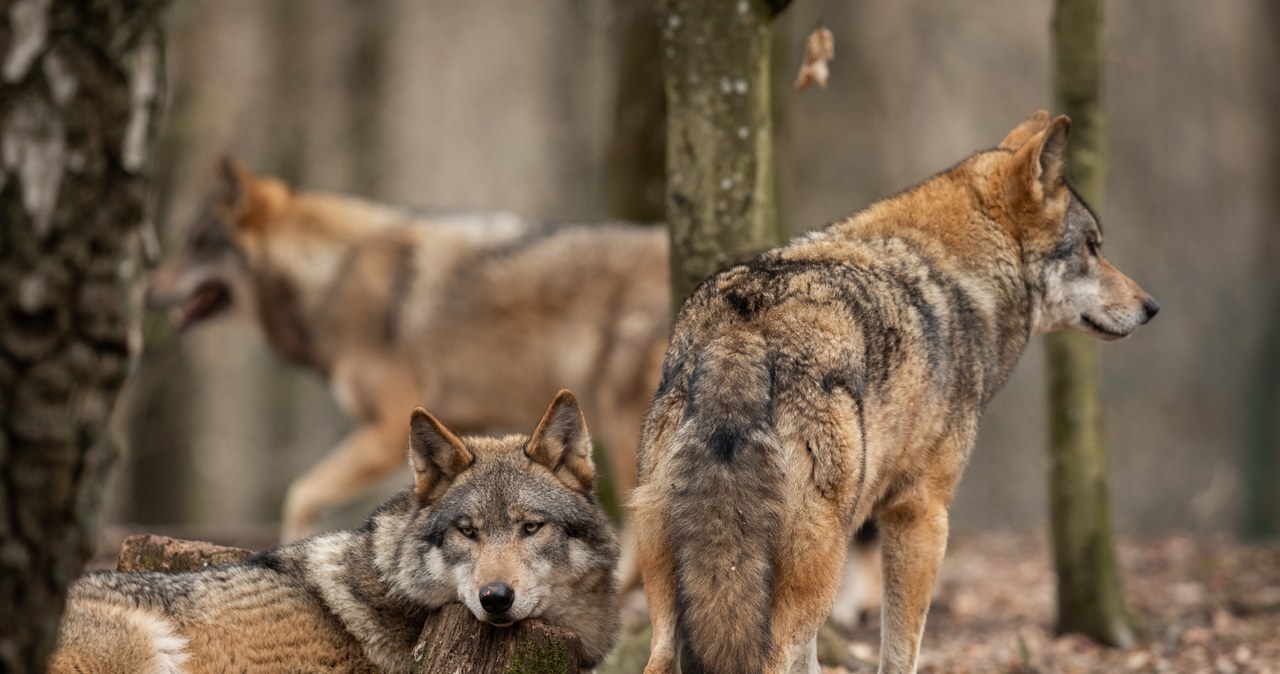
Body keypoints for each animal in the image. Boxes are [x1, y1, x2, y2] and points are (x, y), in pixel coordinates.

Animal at [629, 110, 1162, 674]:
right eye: (1093, 248)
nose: (1151, 306)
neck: (960, 278)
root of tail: (743, 333)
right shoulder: (920, 513)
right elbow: (901, 652)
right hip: (816, 567)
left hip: (680, 594)